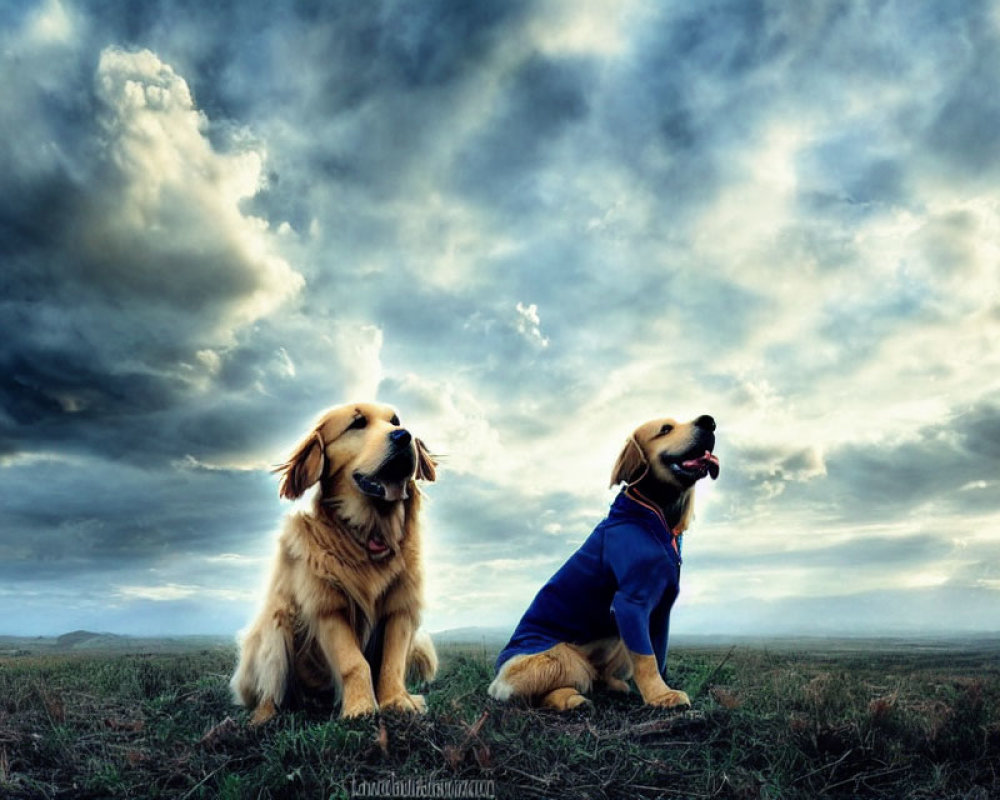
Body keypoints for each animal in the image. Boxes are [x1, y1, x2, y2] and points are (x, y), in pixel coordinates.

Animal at [234, 404, 442, 720]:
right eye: (357, 423)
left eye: (395, 421)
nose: (404, 436)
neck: (371, 532)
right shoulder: (328, 606)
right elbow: (353, 662)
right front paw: (361, 707)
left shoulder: (400, 607)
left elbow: (391, 662)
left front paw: (397, 701)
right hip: (275, 625)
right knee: (271, 687)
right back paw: (264, 716)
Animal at [486, 416, 716, 708]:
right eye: (665, 429)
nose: (709, 422)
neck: (656, 513)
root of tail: (497, 676)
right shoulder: (630, 602)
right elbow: (647, 658)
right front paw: (661, 696)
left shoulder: (661, 610)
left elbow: (659, 653)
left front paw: (661, 689)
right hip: (560, 659)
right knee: (549, 688)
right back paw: (571, 700)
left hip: (616, 639)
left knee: (599, 677)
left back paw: (613, 686)